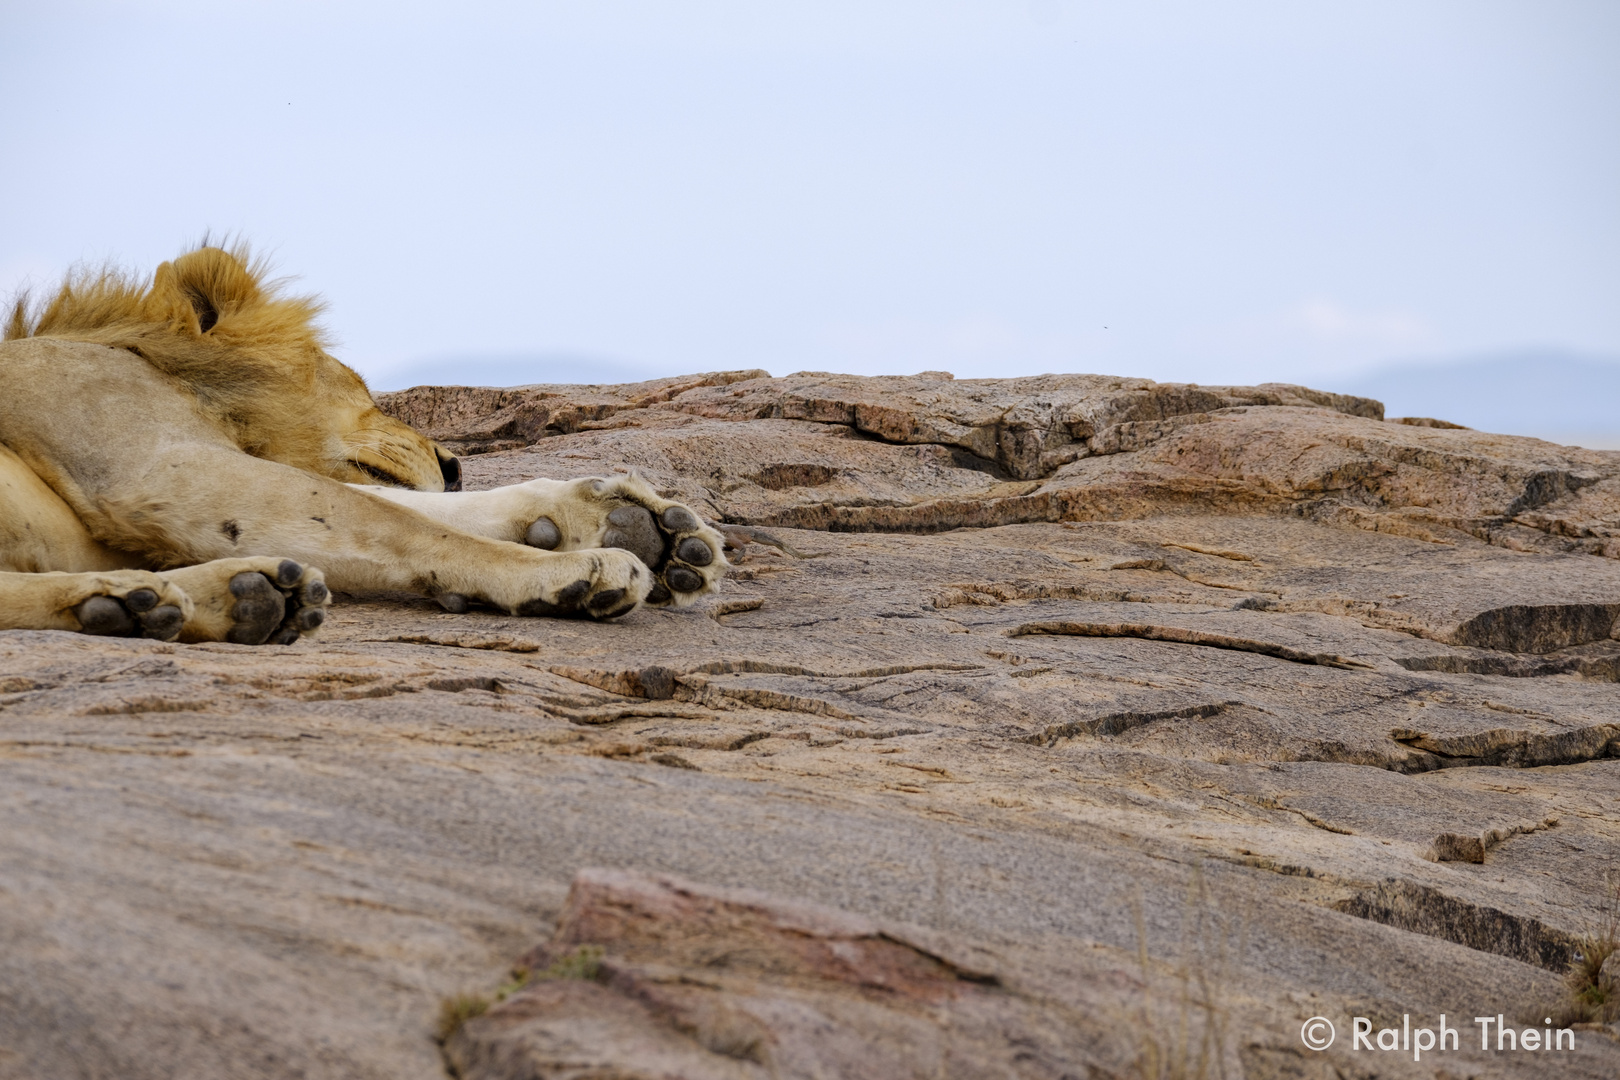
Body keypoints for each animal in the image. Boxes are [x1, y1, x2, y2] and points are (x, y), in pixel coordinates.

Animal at [0, 242, 722, 641]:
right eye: (360, 387)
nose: (455, 464)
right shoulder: (155, 466)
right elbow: (406, 527)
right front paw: (574, 570)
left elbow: (410, 510)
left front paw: (639, 525)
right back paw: (125, 601)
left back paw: (240, 597)